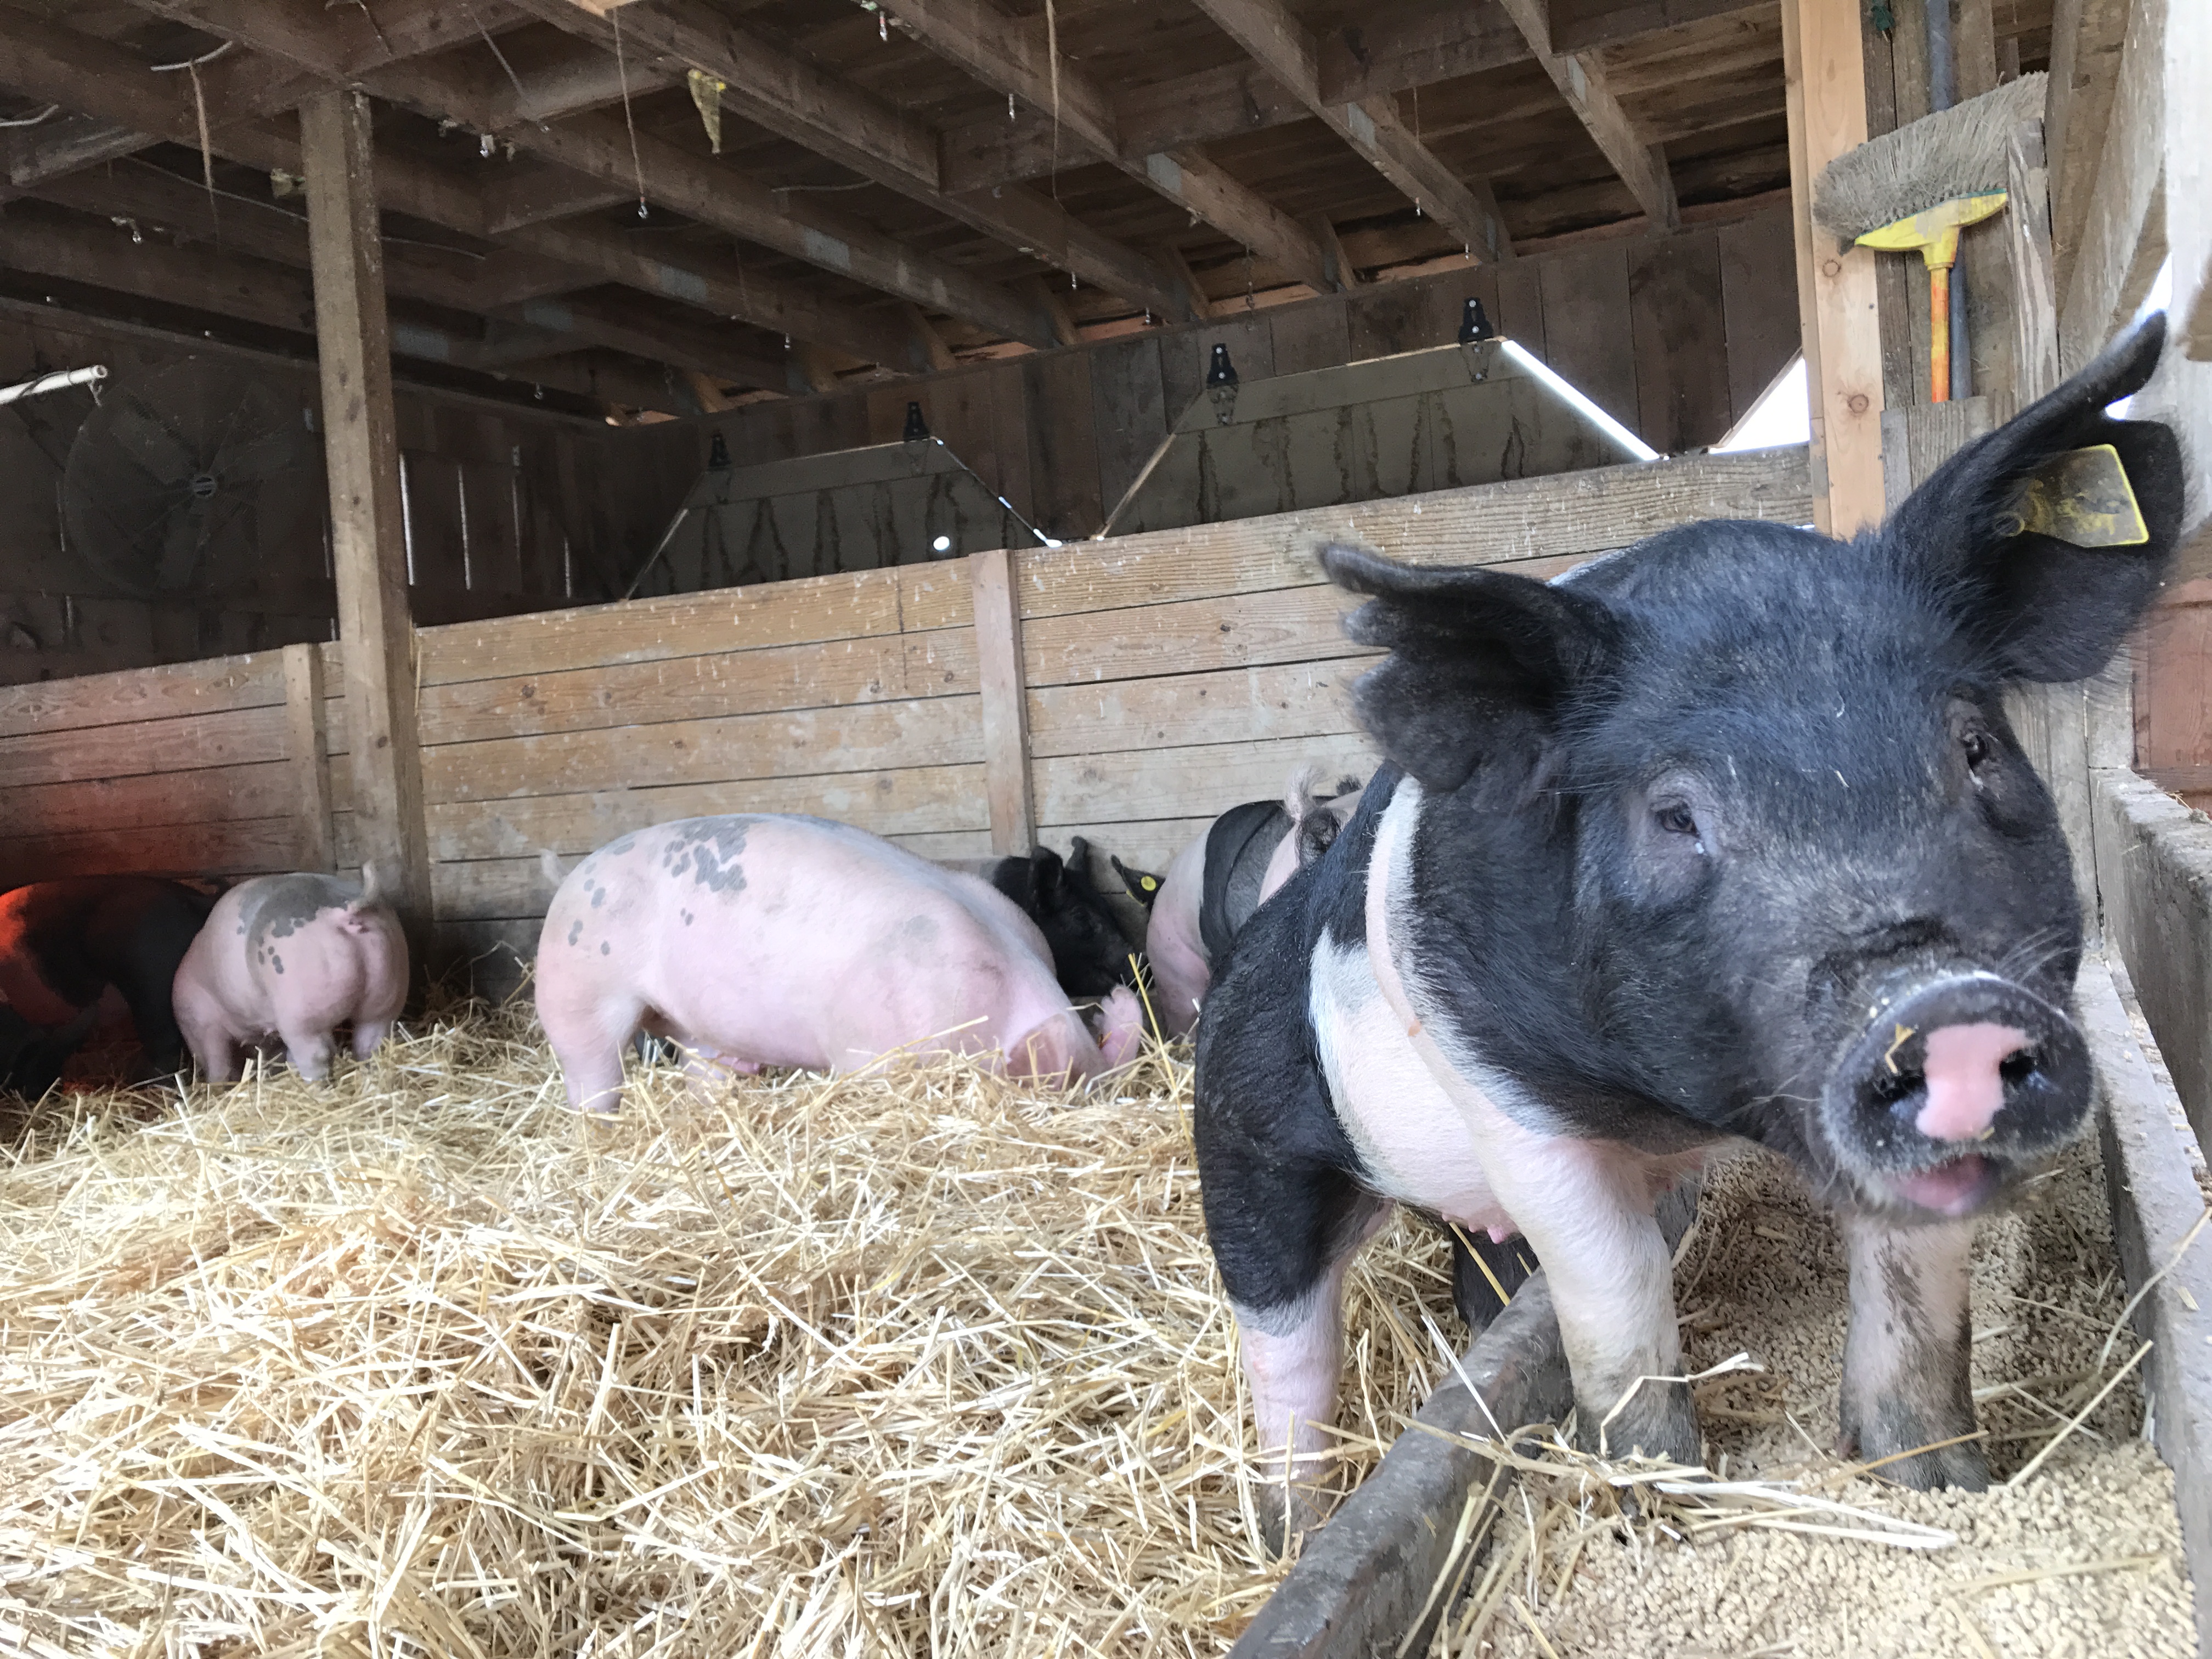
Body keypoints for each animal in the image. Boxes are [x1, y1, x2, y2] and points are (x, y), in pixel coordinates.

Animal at [172, 862, 407, 1084]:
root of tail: (346, 909)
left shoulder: (204, 1022)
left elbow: (218, 1065)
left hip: (302, 1010)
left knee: (317, 1055)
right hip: (387, 993)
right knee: (371, 1044)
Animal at [1194, 318, 2176, 1539]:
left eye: (1973, 747)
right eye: (1674, 815)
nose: (1946, 1006)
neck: (1688, 1117)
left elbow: (1914, 1293)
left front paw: (1940, 1483)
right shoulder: (1509, 1106)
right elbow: (1616, 1295)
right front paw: (1653, 1498)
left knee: (1478, 1278)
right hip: (1245, 1154)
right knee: (1285, 1354)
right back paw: (1291, 1527)